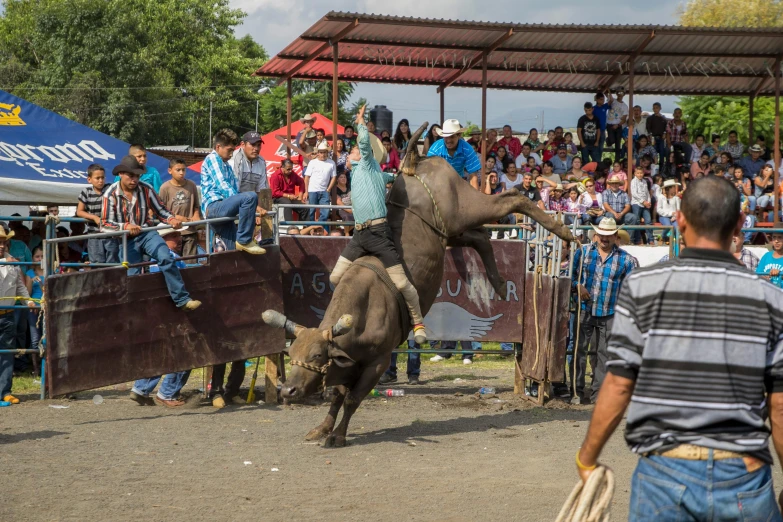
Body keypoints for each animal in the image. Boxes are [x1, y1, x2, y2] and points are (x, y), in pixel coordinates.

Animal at [264, 121, 576, 442]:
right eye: (292, 353)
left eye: (316, 354)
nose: (288, 390)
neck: (363, 312)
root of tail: (416, 161)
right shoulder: (347, 364)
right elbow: (338, 395)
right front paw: (323, 428)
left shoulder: (377, 362)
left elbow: (351, 398)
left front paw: (337, 435)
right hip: (449, 232)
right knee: (480, 238)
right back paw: (500, 284)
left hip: (466, 208)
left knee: (511, 199)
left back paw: (563, 231)